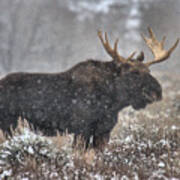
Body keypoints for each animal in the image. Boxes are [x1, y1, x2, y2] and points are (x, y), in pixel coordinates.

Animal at [0, 27, 178, 147]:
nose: (157, 92)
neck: (114, 102)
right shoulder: (81, 128)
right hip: (9, 124)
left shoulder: (103, 131)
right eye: (133, 73)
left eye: (149, 70)